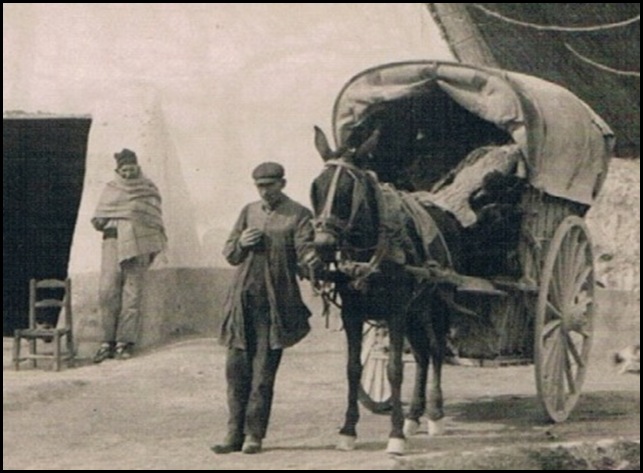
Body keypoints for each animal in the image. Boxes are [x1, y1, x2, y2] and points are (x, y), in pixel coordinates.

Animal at [310, 125, 466, 454]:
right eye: (316, 188)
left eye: (347, 190)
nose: (323, 245)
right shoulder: (353, 314)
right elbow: (353, 369)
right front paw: (348, 431)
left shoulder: (396, 311)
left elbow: (394, 369)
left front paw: (395, 436)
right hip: (416, 310)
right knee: (422, 354)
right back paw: (414, 417)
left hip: (437, 303)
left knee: (434, 350)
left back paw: (434, 414)